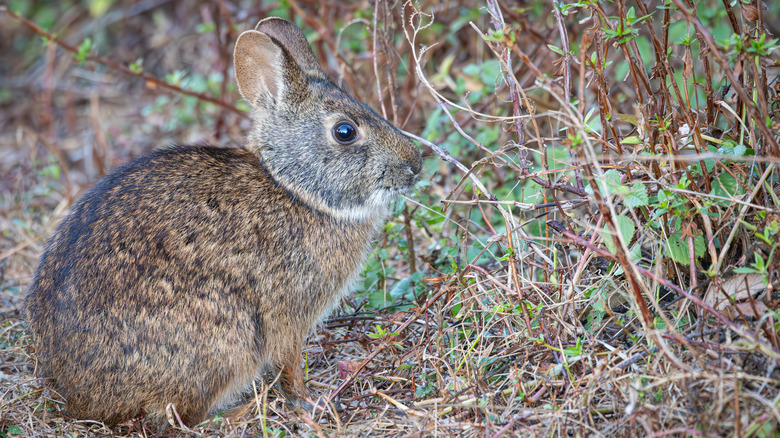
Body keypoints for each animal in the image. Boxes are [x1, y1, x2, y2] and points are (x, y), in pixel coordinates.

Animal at [24, 16, 424, 428]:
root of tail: (76, 395)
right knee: (179, 417)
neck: (294, 188)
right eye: (345, 132)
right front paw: (307, 402)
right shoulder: (288, 314)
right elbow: (288, 364)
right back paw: (241, 411)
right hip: (223, 340)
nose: (415, 165)